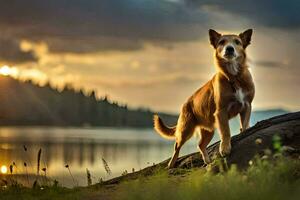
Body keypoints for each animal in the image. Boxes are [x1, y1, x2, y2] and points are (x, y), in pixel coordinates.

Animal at [154, 28, 254, 168]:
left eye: (237, 42)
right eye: (222, 42)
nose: (229, 49)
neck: (234, 77)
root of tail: (185, 103)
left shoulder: (246, 106)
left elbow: (244, 125)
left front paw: (244, 132)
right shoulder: (221, 112)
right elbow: (226, 131)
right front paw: (225, 148)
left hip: (208, 130)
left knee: (200, 145)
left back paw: (207, 162)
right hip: (186, 129)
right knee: (177, 146)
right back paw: (171, 164)